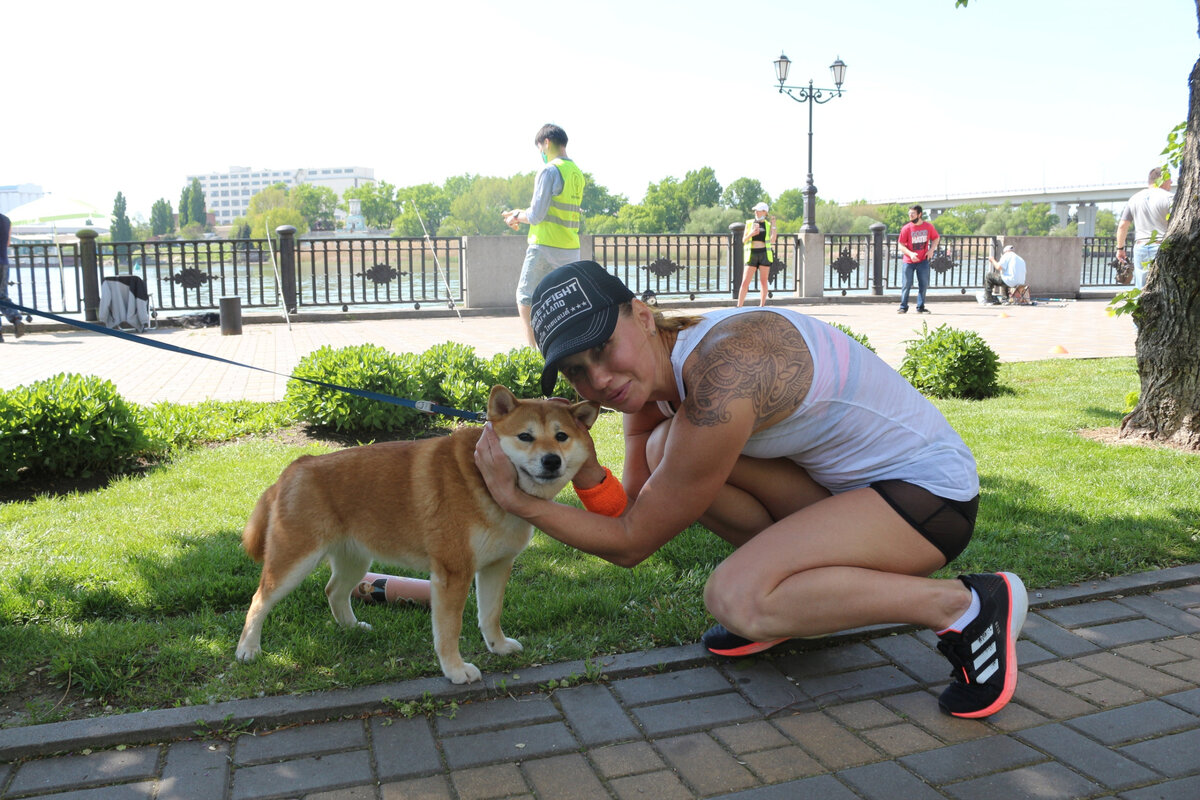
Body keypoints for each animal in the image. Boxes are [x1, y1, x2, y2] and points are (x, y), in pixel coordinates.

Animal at [235, 383, 600, 686]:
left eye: (562, 437)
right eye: (525, 436)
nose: (551, 461)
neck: (484, 480)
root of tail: (296, 466)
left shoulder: (496, 566)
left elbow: (490, 615)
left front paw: (497, 647)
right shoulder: (453, 574)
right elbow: (449, 631)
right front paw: (455, 669)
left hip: (355, 559)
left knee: (334, 591)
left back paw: (352, 628)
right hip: (293, 561)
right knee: (259, 600)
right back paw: (248, 649)